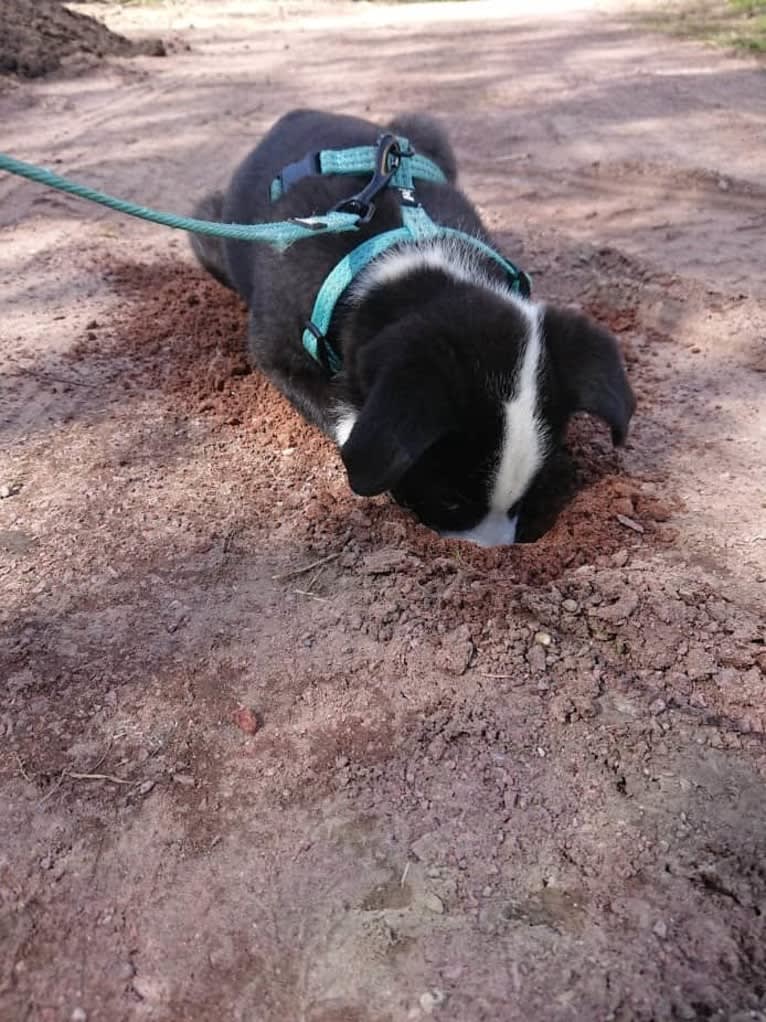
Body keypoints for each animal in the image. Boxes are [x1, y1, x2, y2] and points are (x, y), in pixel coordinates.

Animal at [188, 107, 633, 547]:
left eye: (531, 494)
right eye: (450, 499)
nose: (496, 554)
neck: (404, 263)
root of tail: (295, 115)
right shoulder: (276, 348)